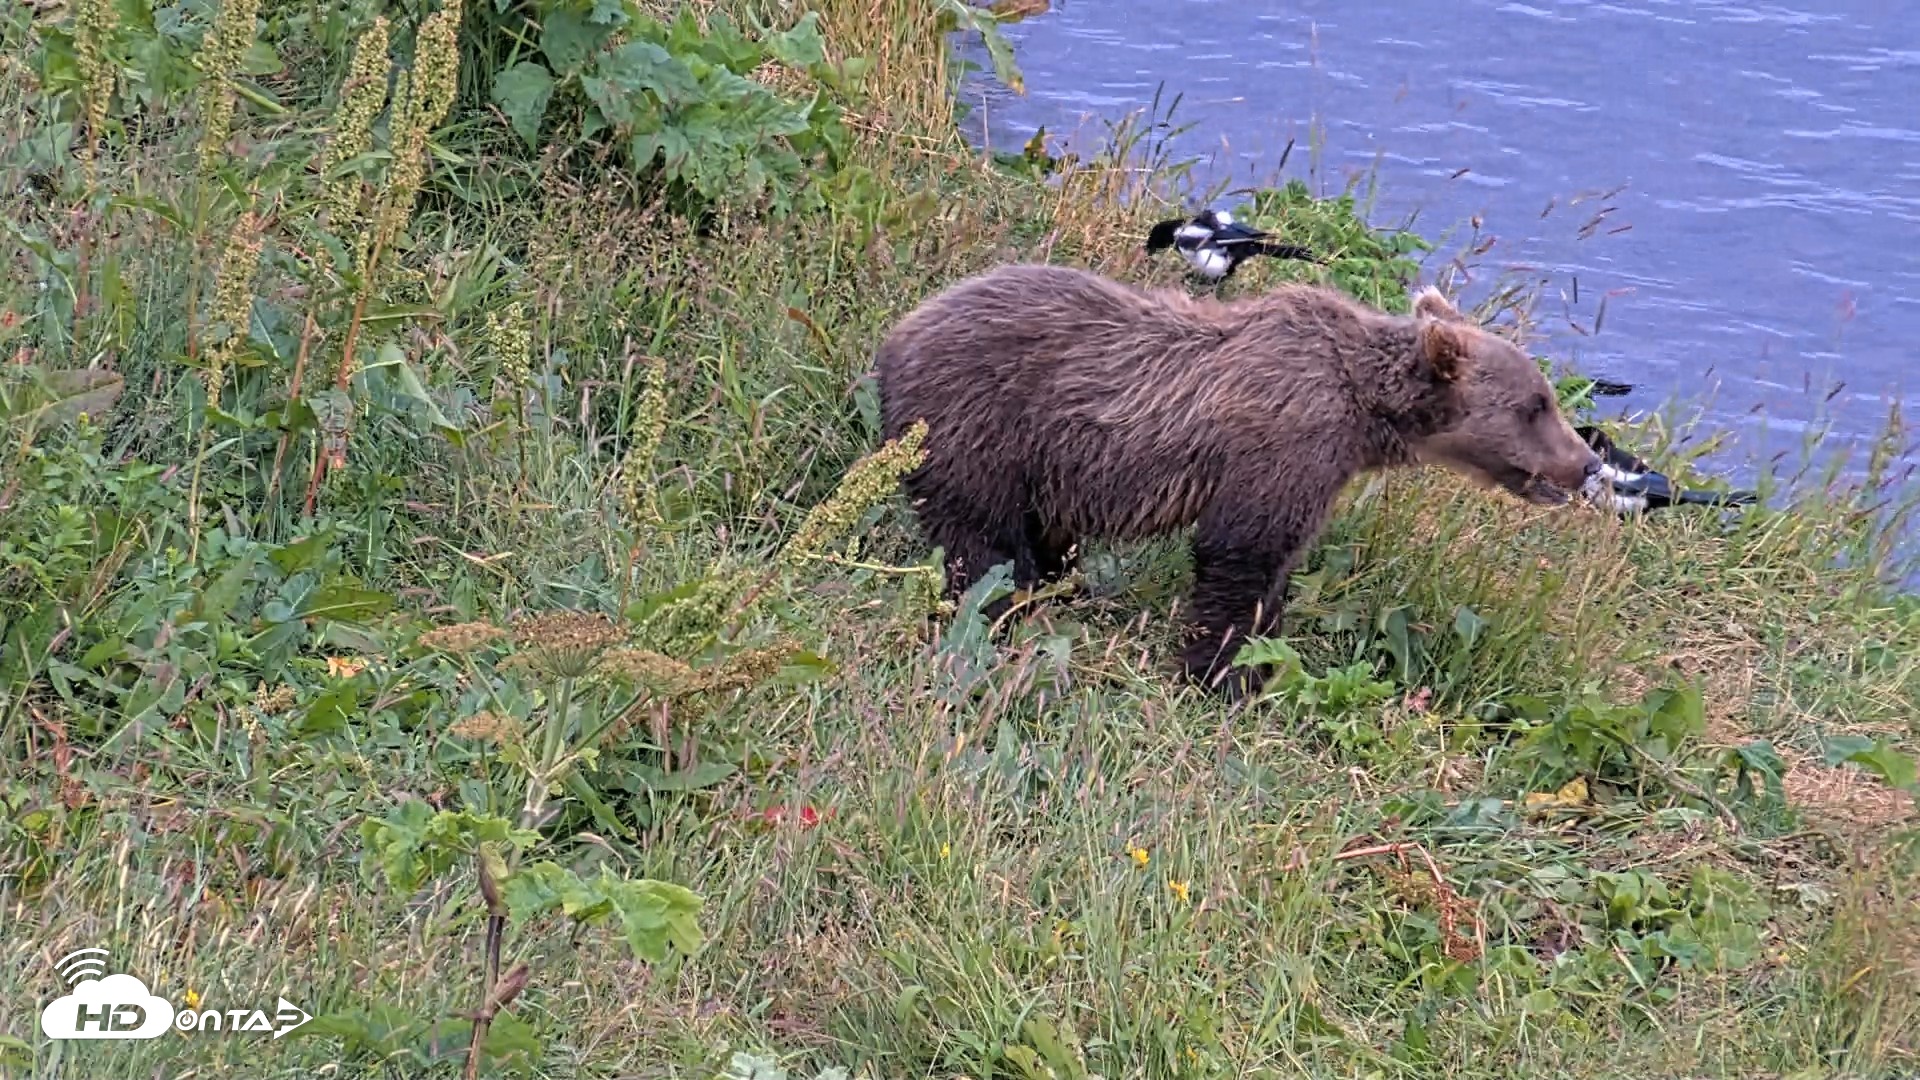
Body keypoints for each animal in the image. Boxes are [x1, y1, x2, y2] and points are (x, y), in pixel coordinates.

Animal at [873, 262, 1601, 697]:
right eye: (1537, 404)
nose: (1588, 462)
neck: (1364, 412)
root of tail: (896, 335)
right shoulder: (1282, 443)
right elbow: (1241, 553)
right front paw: (1220, 673)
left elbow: (1275, 567)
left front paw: (1262, 654)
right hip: (981, 427)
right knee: (984, 544)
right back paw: (1002, 611)